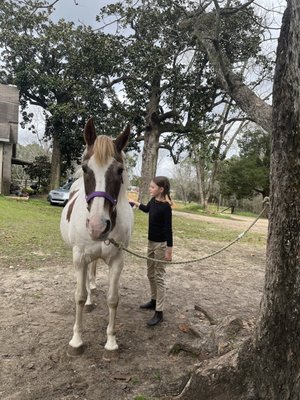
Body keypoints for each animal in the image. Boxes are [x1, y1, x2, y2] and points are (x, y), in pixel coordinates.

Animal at [61, 117, 134, 354]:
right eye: (85, 168)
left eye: (119, 170)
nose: (97, 227)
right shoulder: (79, 257)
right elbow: (79, 296)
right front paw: (76, 340)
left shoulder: (117, 260)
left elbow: (113, 299)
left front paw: (111, 341)